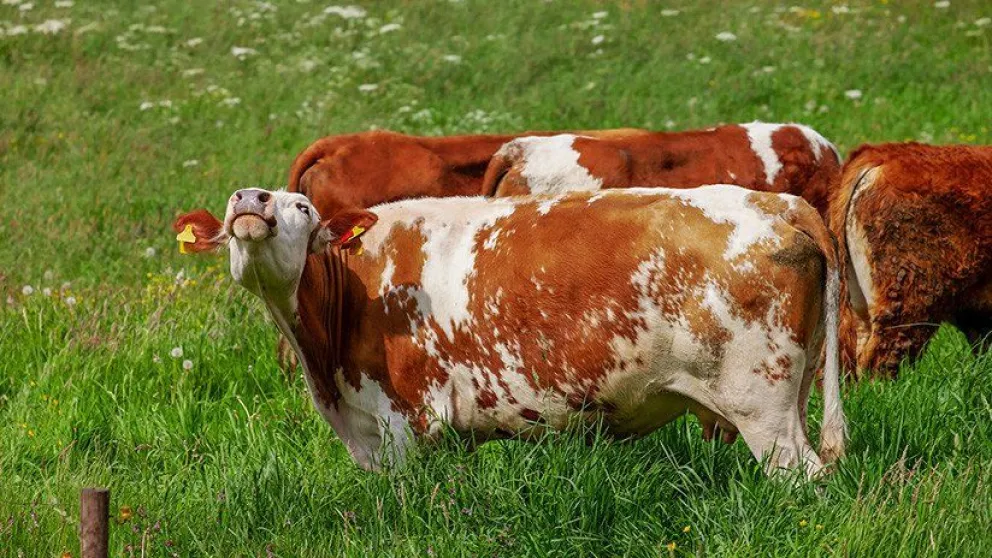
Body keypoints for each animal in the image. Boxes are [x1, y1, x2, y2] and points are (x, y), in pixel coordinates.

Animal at [175, 185, 846, 477]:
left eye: (302, 207)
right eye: (234, 199)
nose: (251, 200)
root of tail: (780, 202)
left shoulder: (405, 424)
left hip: (762, 406)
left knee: (805, 476)